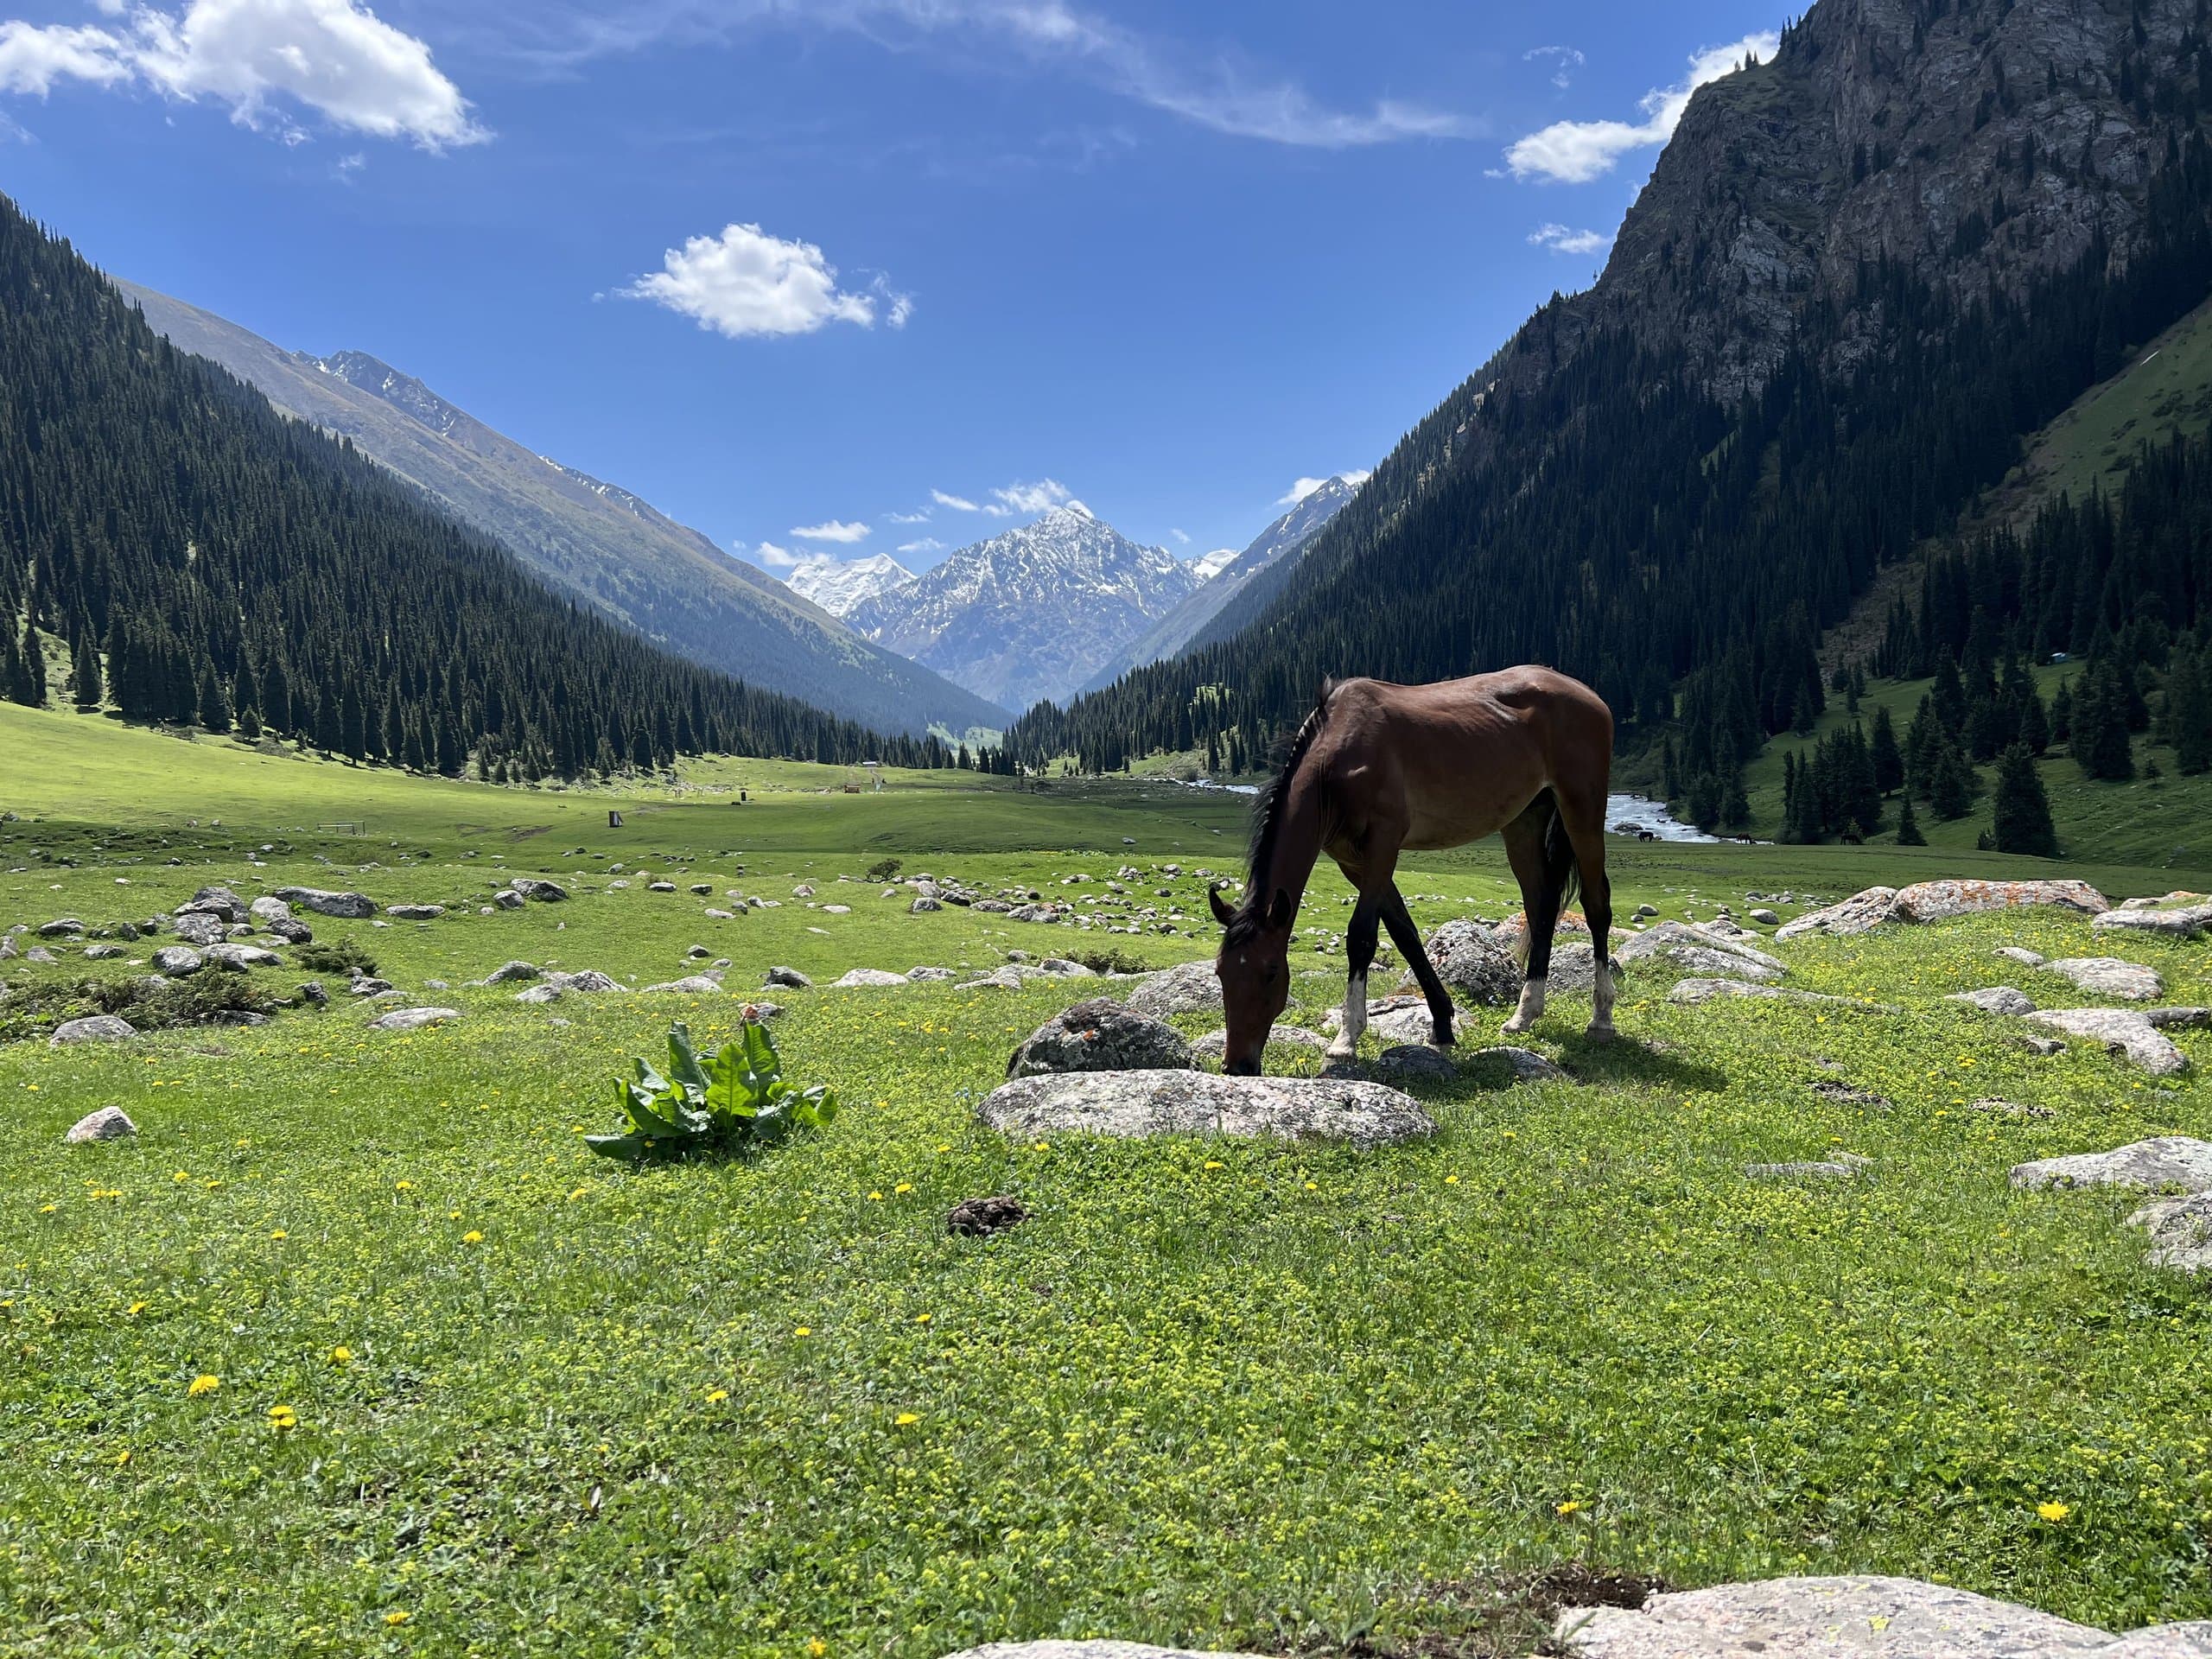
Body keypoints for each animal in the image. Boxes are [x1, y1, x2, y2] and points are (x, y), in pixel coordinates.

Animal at [1207, 668, 1616, 1076]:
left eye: (1271, 972)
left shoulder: (1383, 847)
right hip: (1524, 821)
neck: (1336, 763)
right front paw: (1443, 1024)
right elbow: (1405, 935)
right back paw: (1524, 1015)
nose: (1238, 1065)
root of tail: (1589, 695)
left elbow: (1362, 936)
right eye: (1221, 972)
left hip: (1583, 811)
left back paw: (1601, 1018)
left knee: (1596, 906)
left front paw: (1345, 1040)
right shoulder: (1353, 862)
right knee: (1540, 908)